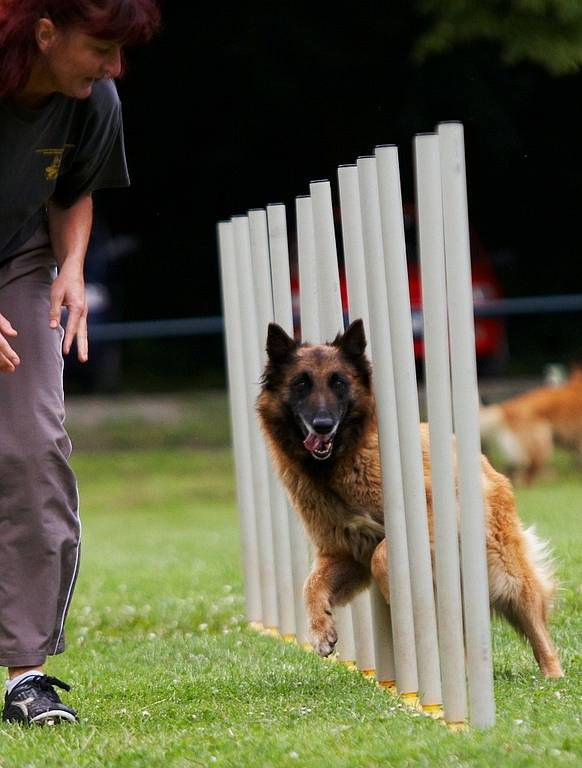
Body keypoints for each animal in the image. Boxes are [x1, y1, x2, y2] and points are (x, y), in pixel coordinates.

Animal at [256, 318, 564, 680]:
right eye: (301, 383)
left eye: (339, 382)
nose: (323, 425)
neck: (340, 464)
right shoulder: (342, 552)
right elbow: (311, 584)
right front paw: (320, 630)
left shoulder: (426, 515)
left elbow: (382, 554)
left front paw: (394, 590)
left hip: (504, 573)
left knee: (536, 623)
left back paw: (553, 677)